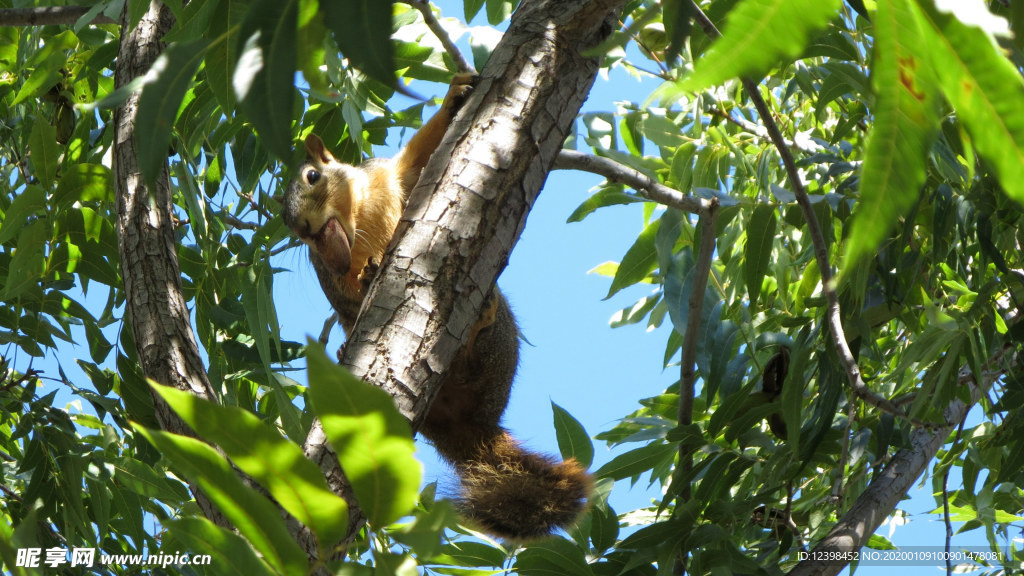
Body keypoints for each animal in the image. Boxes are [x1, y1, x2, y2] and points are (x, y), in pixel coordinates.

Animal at [282, 72, 593, 537]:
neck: (361, 216)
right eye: (289, 226)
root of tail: (473, 426)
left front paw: (455, 94)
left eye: (313, 175)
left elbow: (421, 152)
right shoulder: (330, 273)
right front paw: (364, 279)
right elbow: (347, 301)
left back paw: (480, 319)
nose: (303, 227)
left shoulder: (395, 176)